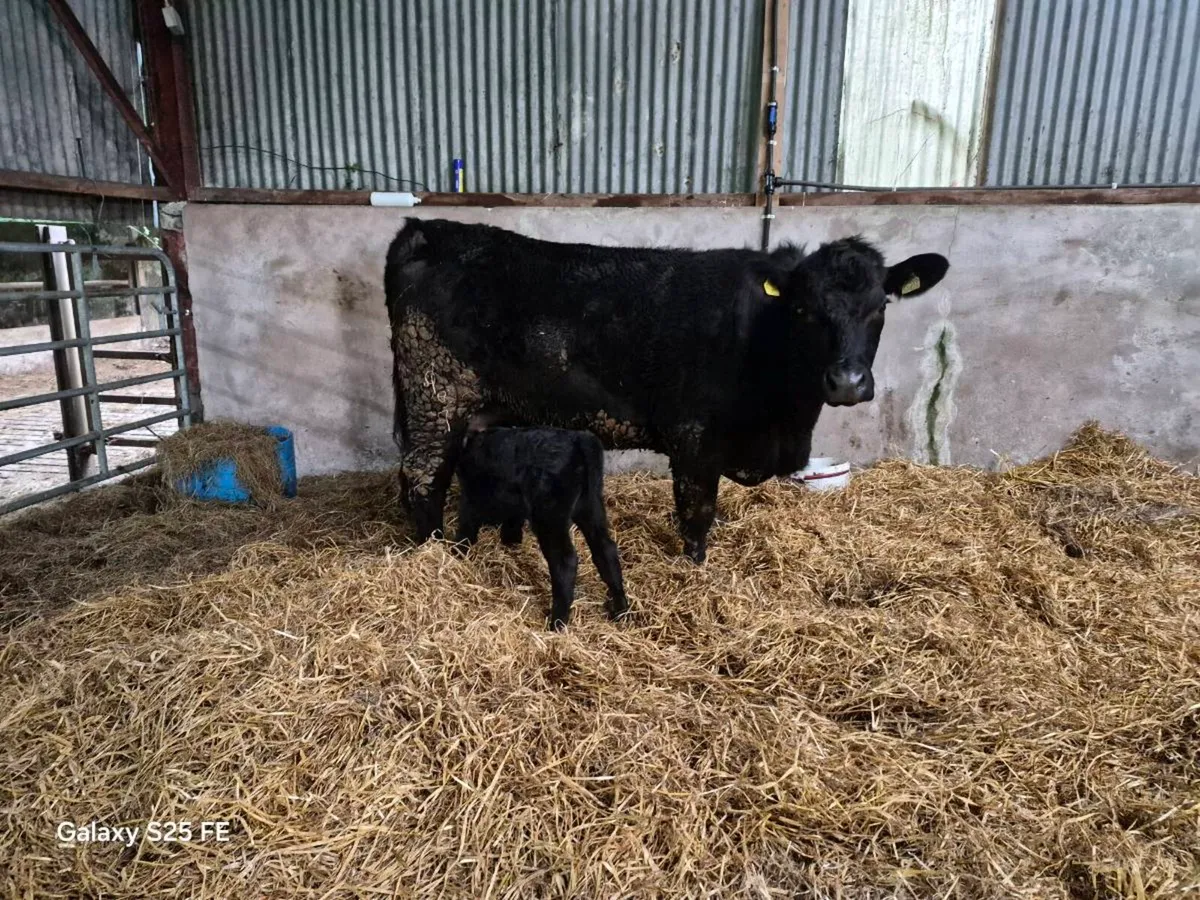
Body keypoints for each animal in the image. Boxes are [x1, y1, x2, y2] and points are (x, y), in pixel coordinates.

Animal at [385, 218, 949, 563]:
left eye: (880, 307)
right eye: (805, 309)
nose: (847, 382)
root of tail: (425, 232)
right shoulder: (694, 438)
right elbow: (696, 516)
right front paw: (695, 567)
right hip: (434, 396)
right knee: (422, 478)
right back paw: (432, 551)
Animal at [454, 425, 629, 631]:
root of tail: (579, 440)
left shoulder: (471, 500)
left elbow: (466, 527)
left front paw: (457, 554)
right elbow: (512, 525)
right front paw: (511, 544)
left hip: (550, 516)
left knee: (565, 561)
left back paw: (557, 623)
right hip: (591, 506)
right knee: (605, 550)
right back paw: (621, 609)